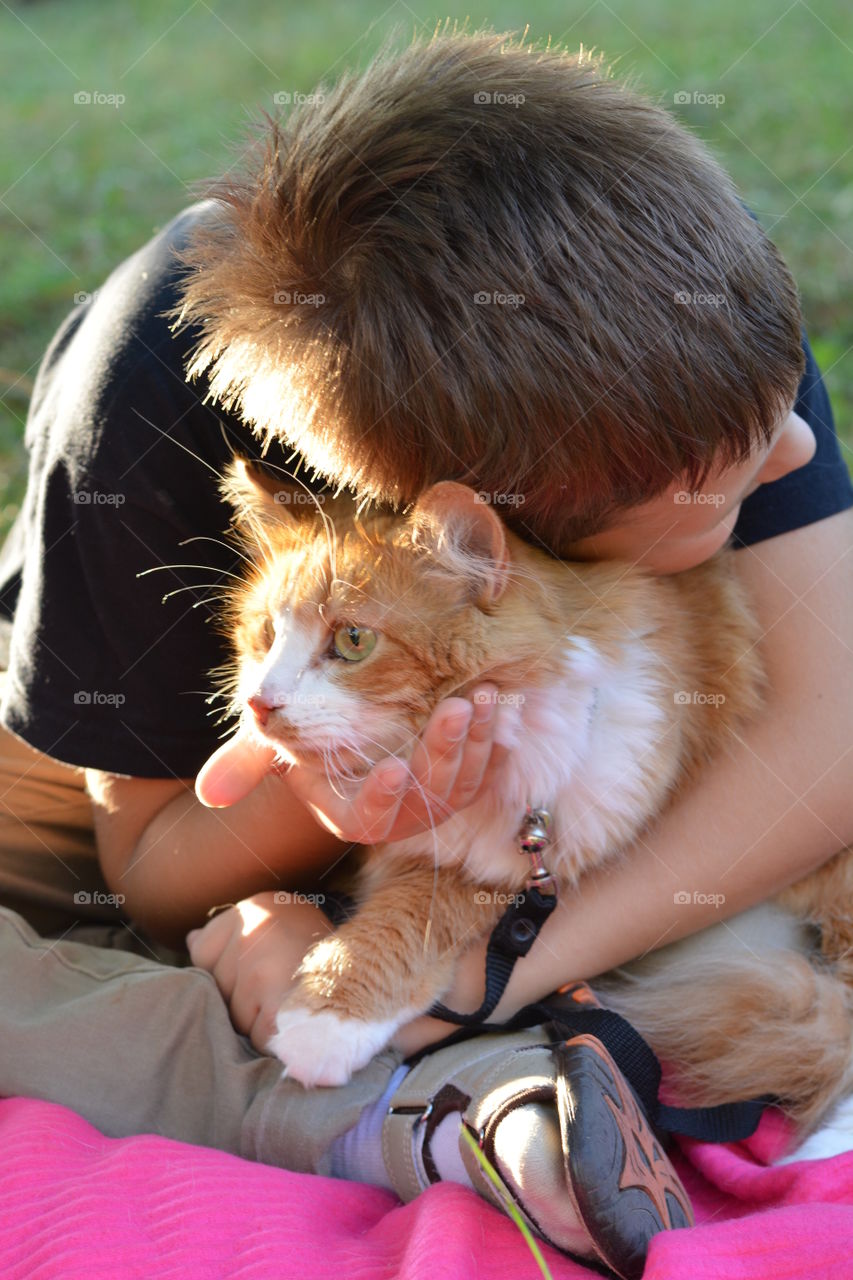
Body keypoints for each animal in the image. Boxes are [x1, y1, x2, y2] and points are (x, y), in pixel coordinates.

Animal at [217, 458, 850, 1131]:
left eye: (354, 640)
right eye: (266, 634)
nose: (259, 704)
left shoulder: (542, 852)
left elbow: (420, 908)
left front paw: (327, 1015)